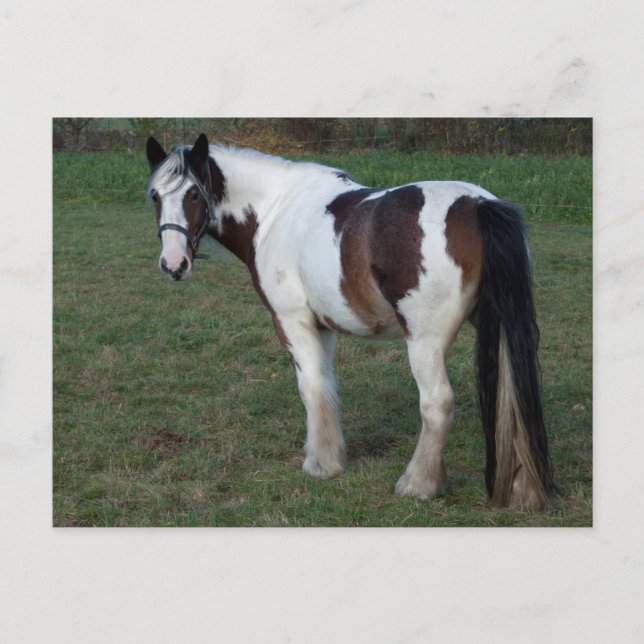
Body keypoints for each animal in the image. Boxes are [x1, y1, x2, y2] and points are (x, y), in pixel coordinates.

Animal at [145, 133, 555, 509]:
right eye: (155, 197)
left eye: (194, 195)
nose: (173, 265)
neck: (275, 208)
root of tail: (480, 204)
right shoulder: (323, 325)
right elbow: (325, 385)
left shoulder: (292, 321)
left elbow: (310, 386)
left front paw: (321, 464)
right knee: (511, 399)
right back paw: (522, 490)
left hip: (425, 340)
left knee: (437, 403)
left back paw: (418, 484)